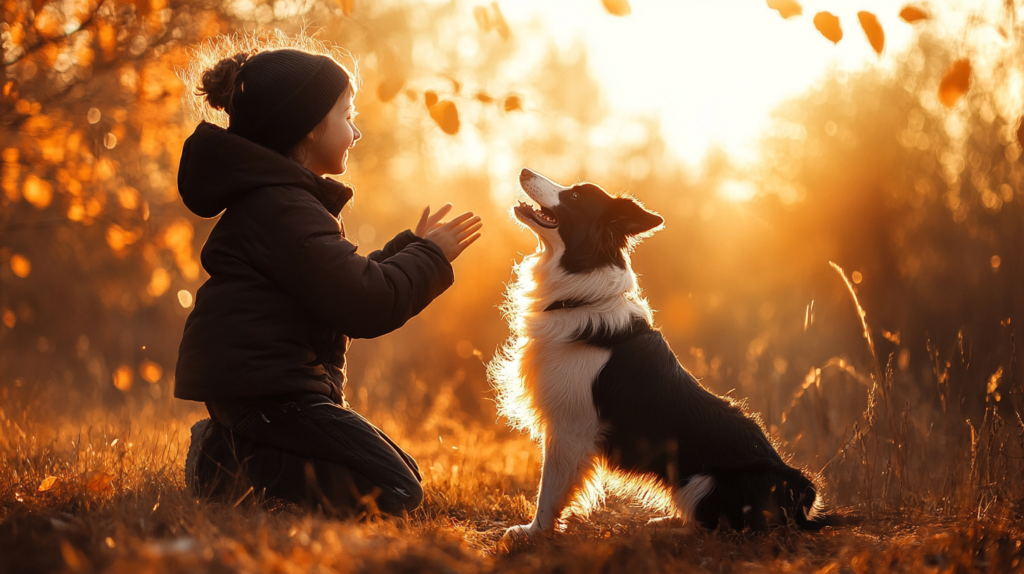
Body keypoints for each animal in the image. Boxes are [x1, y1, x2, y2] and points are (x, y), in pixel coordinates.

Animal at [491, 167, 827, 536]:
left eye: (576, 196)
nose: (524, 170)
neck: (581, 292)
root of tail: (801, 499)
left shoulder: (570, 425)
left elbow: (549, 489)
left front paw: (533, 531)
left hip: (704, 482)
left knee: (715, 526)